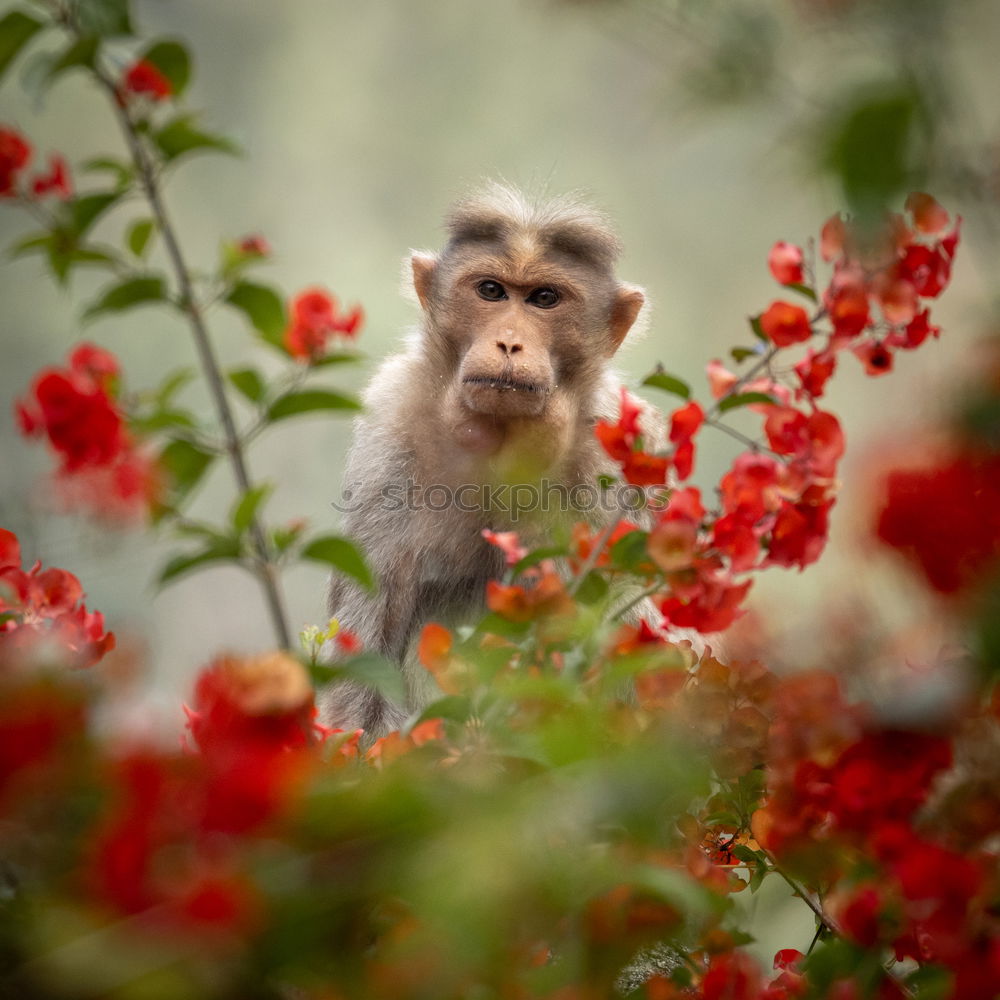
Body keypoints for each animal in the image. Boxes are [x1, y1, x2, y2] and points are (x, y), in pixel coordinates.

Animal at [320, 184, 660, 740]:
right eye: (491, 291)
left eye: (545, 299)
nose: (509, 342)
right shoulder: (388, 433)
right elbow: (367, 660)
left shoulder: (621, 454)